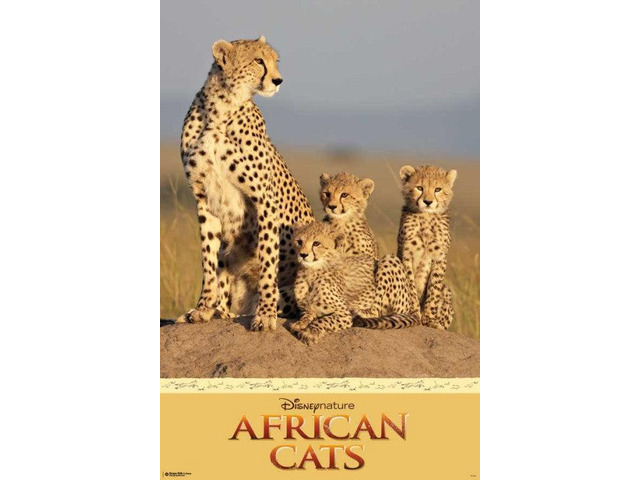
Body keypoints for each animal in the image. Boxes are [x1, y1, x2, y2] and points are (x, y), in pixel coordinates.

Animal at [175, 36, 314, 331]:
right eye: (258, 61)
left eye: (275, 60)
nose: (278, 80)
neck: (221, 109)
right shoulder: (203, 199)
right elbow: (208, 258)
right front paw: (202, 308)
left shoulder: (264, 199)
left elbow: (268, 260)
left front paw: (265, 314)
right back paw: (217, 311)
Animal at [289, 221, 420, 345]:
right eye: (299, 242)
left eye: (316, 243)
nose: (303, 254)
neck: (311, 273)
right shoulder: (307, 308)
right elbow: (307, 314)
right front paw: (300, 323)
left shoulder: (344, 314)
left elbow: (324, 320)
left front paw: (310, 333)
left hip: (389, 260)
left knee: (376, 310)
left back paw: (360, 312)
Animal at [396, 165, 457, 330]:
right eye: (419, 188)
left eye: (438, 189)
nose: (428, 202)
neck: (427, 217)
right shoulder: (406, 255)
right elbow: (410, 287)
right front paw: (414, 313)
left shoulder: (439, 258)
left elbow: (434, 289)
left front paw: (429, 319)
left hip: (446, 291)